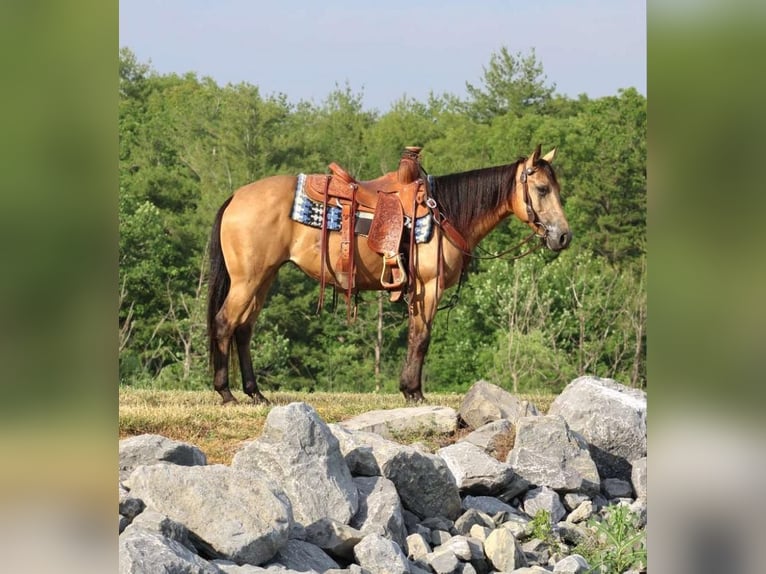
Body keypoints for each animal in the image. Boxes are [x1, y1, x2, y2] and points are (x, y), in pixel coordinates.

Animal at [207, 145, 572, 404]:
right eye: (542, 189)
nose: (563, 236)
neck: (445, 214)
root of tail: (236, 197)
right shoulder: (429, 286)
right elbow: (421, 337)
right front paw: (414, 392)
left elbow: (414, 335)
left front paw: (409, 388)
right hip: (248, 280)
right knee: (225, 322)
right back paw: (226, 392)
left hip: (264, 278)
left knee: (244, 329)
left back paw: (255, 393)